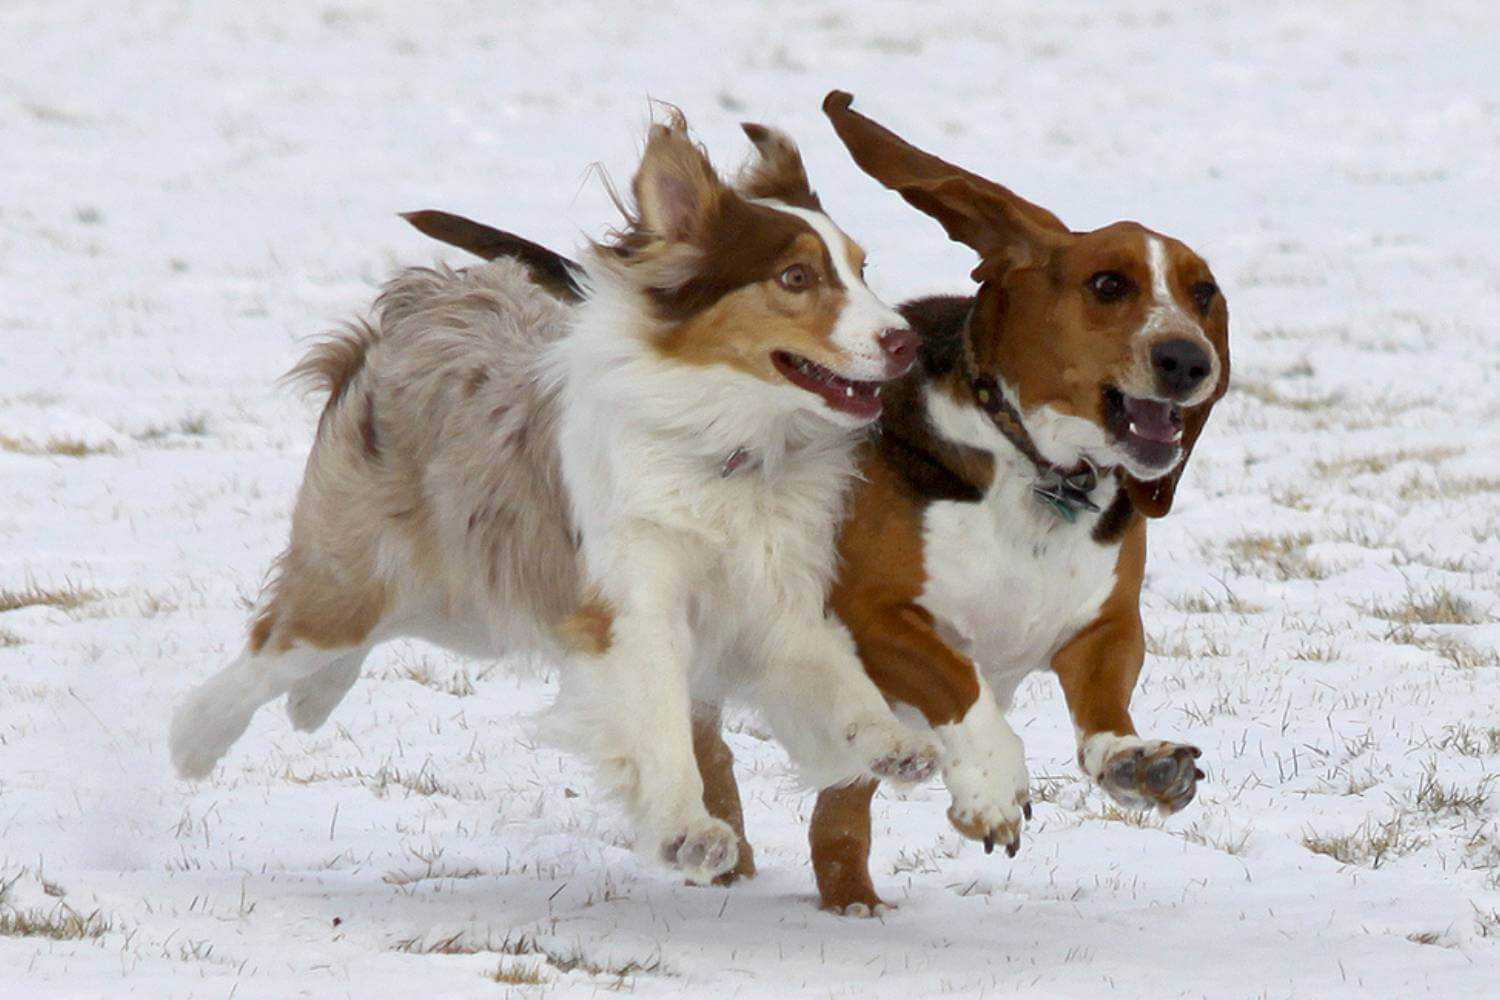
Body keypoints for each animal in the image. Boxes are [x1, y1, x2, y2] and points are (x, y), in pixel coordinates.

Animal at [167, 113, 936, 887]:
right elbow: (659, 719)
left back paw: (309, 703)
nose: (908, 342)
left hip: (471, 593)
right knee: (281, 643)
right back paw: (195, 736)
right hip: (361, 566)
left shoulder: (774, 598)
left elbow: (839, 677)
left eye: (862, 268)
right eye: (796, 277)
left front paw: (893, 741)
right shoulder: (634, 604)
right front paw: (686, 830)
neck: (729, 451)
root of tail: (424, 300)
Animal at [411, 93, 1230, 917]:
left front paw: (1137, 761)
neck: (1035, 468)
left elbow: (1103, 700)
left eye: (1204, 295)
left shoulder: (1106, 622)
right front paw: (993, 785)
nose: (1189, 360)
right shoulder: (872, 613)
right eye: (1108, 285)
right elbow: (957, 682)